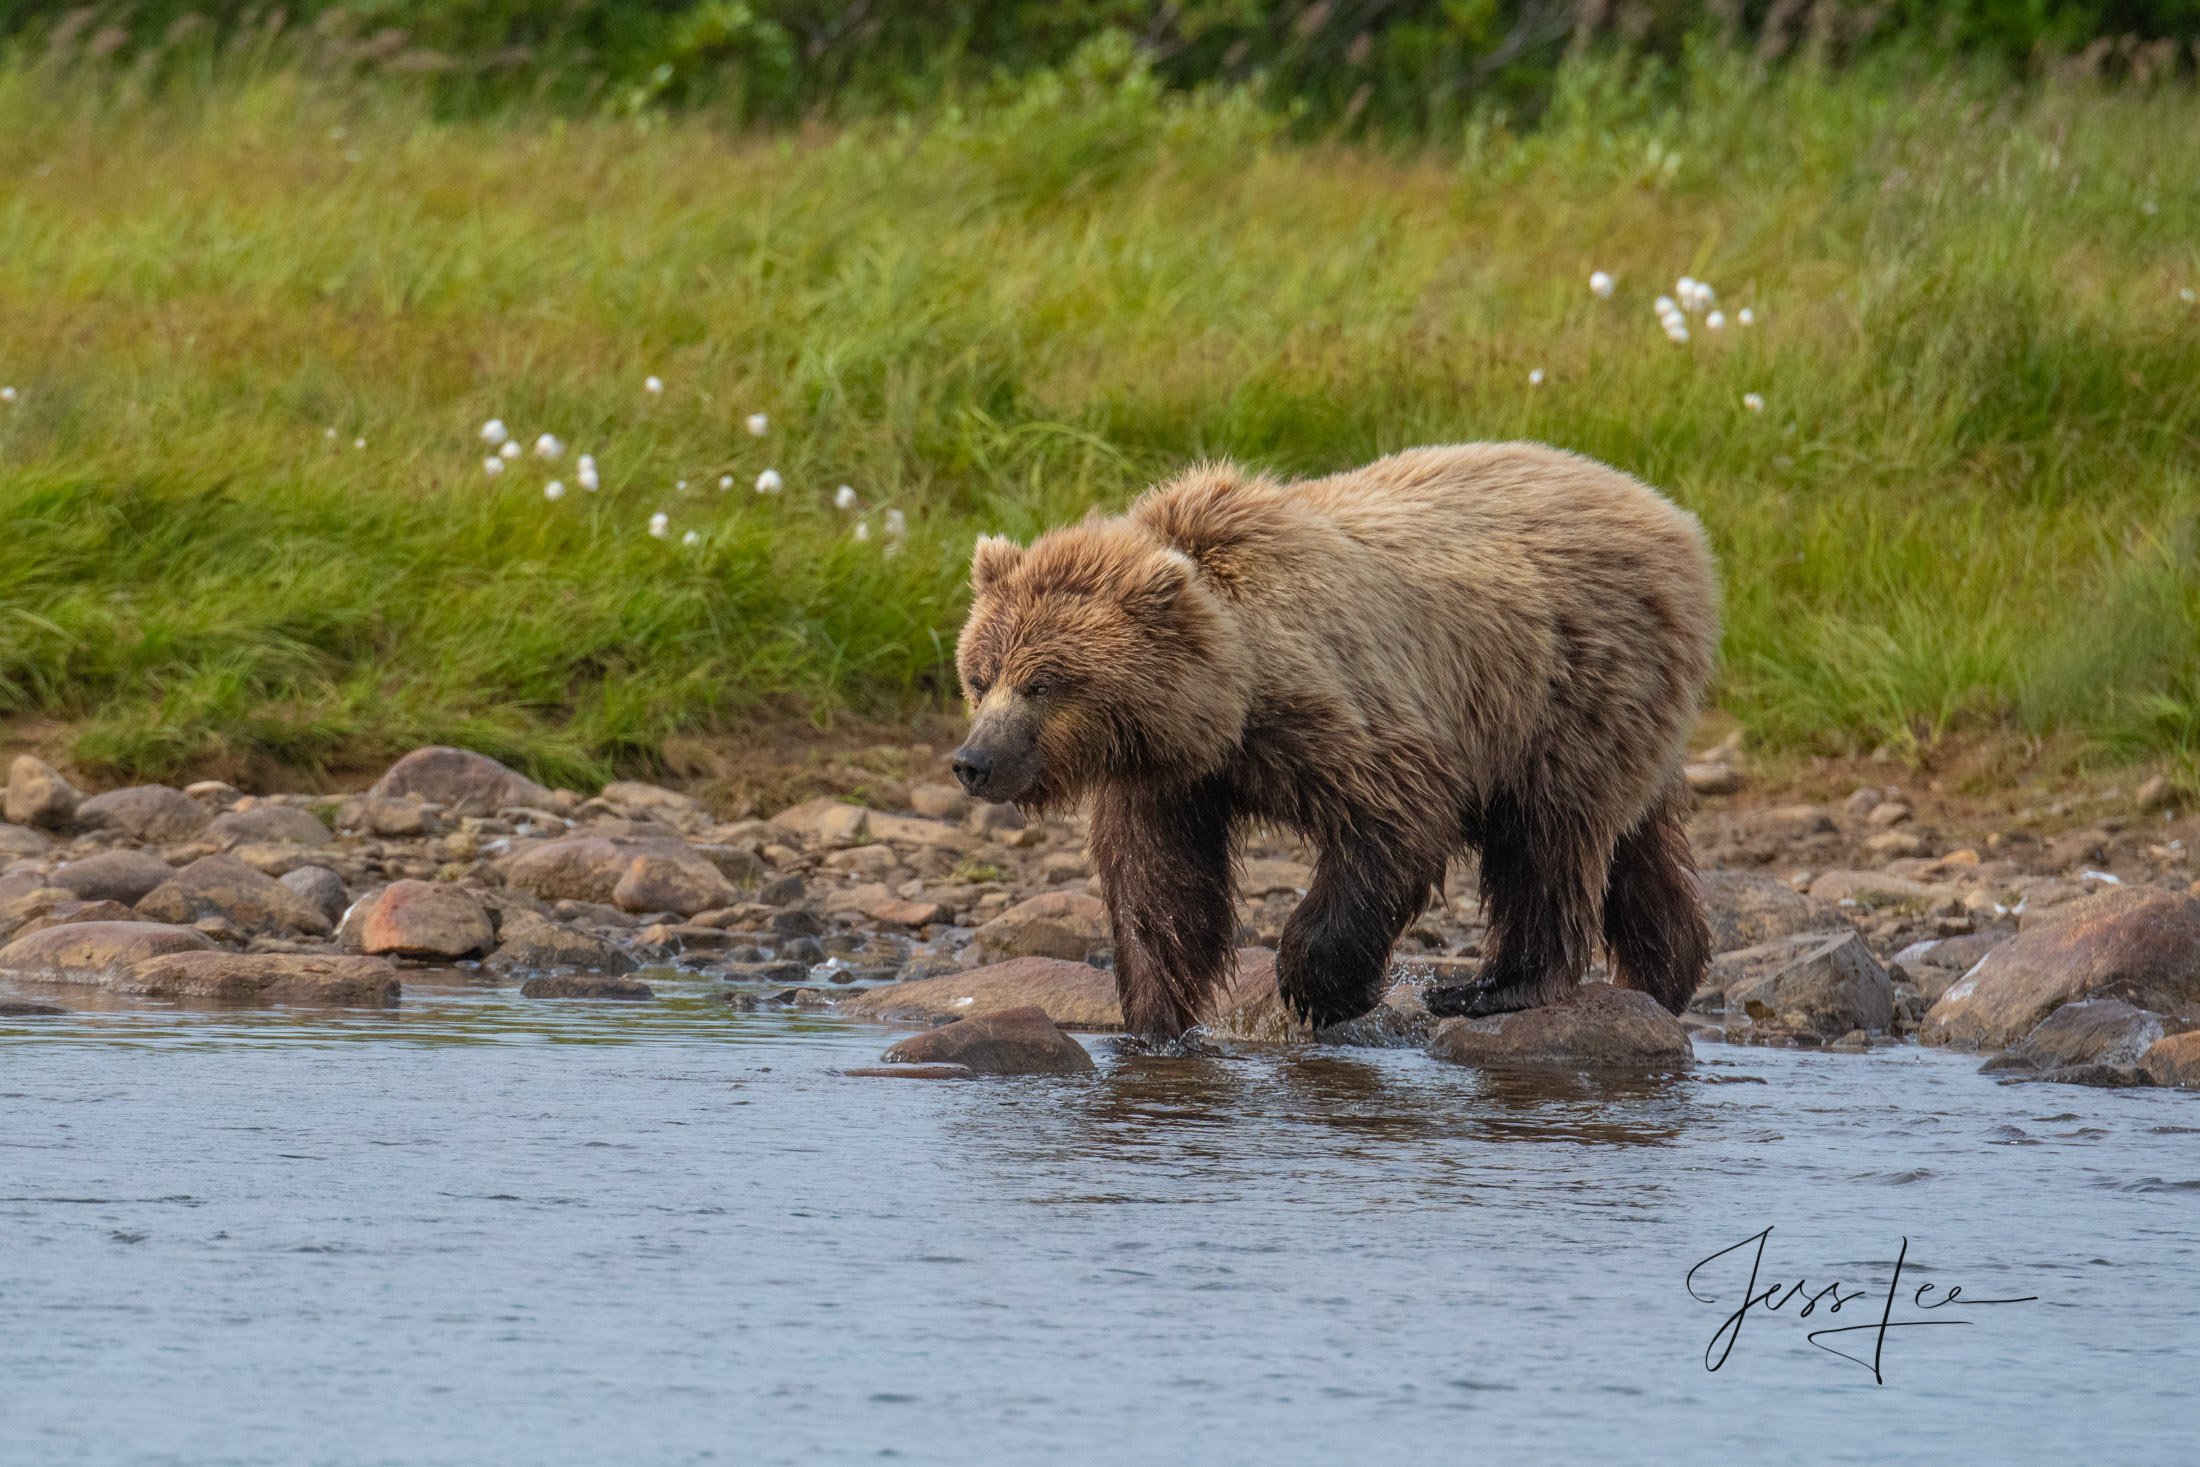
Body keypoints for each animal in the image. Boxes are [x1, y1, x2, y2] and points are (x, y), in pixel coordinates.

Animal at [946, 442, 1716, 1038]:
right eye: (980, 677)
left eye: (1044, 682)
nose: (972, 762)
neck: (1232, 704)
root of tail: (1672, 516)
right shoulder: (1170, 780)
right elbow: (1158, 888)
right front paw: (1153, 1019)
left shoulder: (1348, 713)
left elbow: (1394, 823)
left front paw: (1324, 988)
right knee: (1635, 844)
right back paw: (1664, 971)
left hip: (1566, 684)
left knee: (1546, 838)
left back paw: (1492, 987)